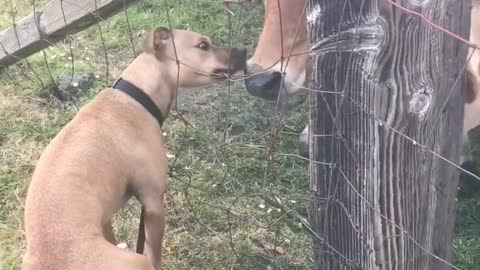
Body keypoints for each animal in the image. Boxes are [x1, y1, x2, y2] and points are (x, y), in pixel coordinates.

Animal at [21, 28, 248, 270]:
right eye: (203, 45)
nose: (244, 50)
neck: (137, 95)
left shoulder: (105, 218)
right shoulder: (153, 204)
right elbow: (155, 254)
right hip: (136, 260)